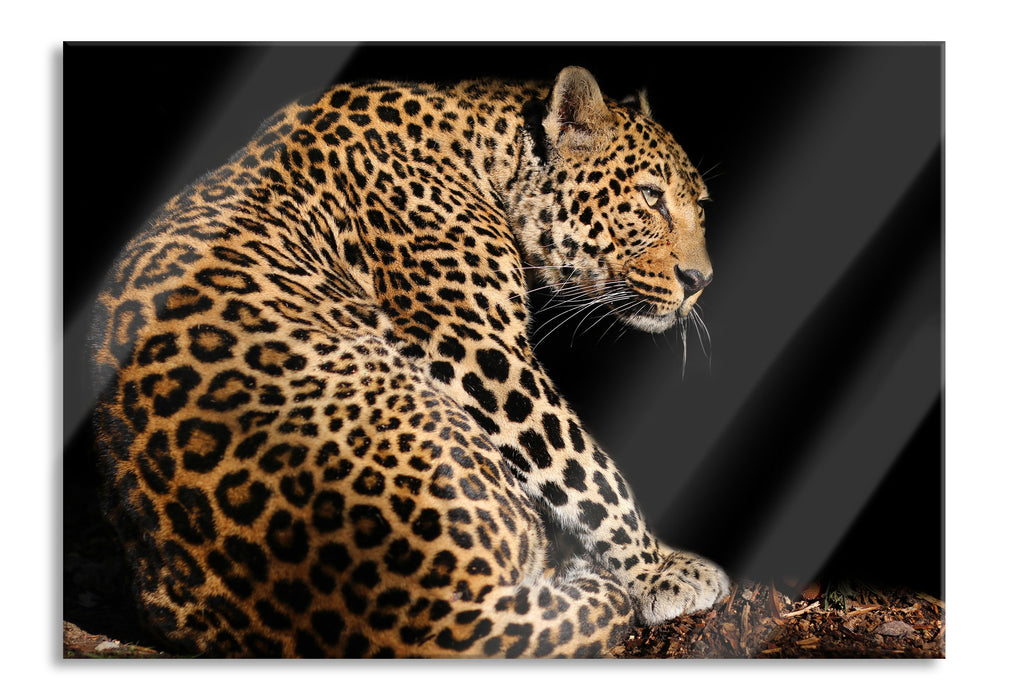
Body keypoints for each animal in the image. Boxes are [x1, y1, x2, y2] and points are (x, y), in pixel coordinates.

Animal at [88, 65, 729, 658]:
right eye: (649, 197)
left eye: (699, 206)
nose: (700, 282)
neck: (486, 148)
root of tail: (413, 615)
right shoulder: (476, 347)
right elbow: (581, 467)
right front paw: (660, 572)